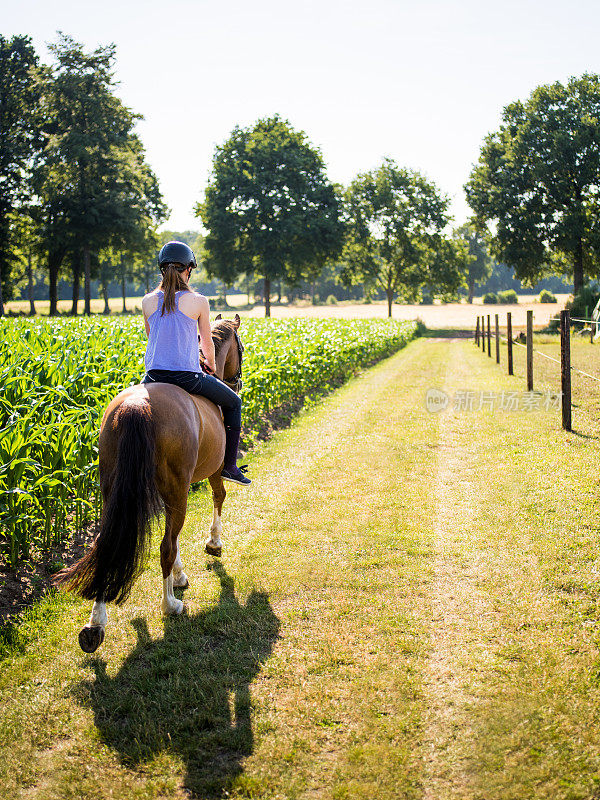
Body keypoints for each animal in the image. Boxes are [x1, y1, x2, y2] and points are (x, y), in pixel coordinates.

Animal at [55, 312, 244, 648]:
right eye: (242, 348)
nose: (238, 381)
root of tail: (137, 406)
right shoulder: (211, 470)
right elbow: (218, 498)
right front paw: (213, 544)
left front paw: (180, 574)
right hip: (175, 487)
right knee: (164, 546)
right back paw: (170, 606)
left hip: (112, 489)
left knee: (108, 543)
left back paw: (95, 624)